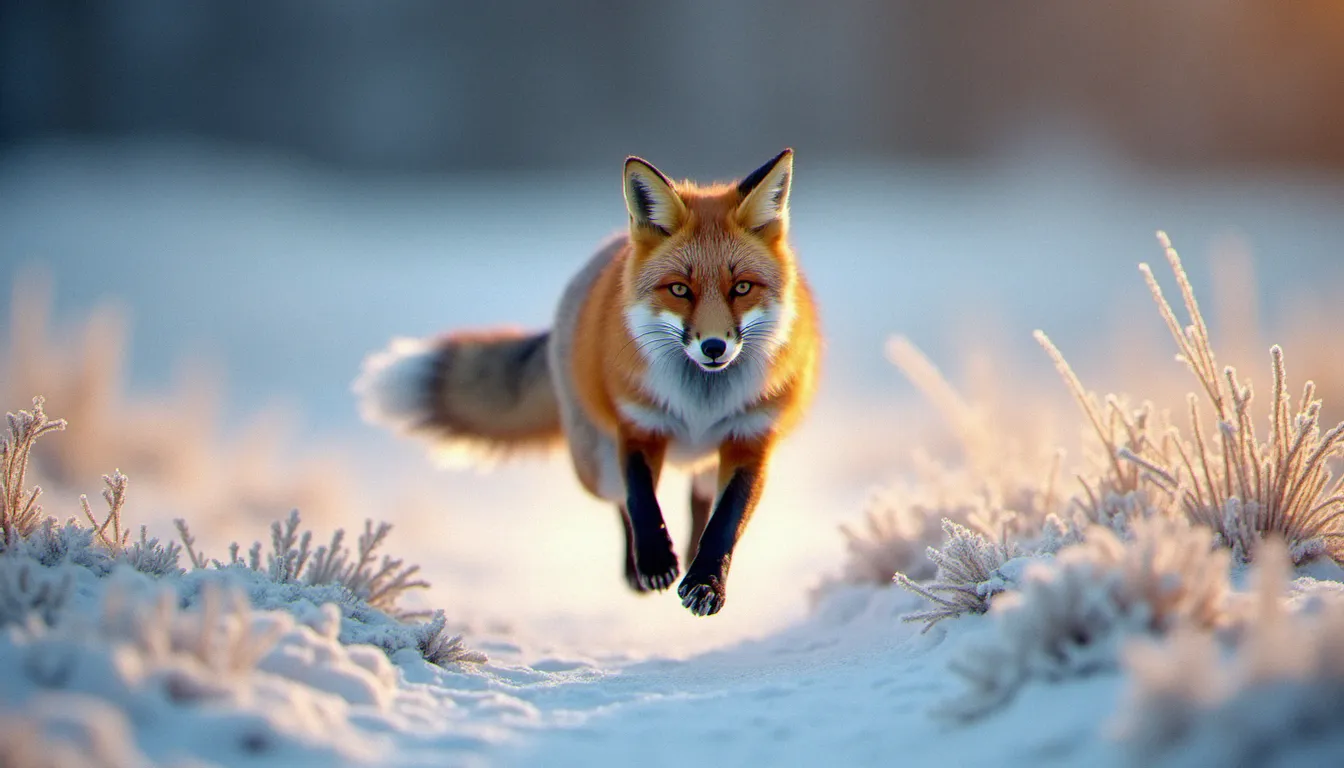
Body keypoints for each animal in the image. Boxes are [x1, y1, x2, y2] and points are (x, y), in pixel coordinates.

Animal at [354, 149, 820, 616]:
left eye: (741, 287)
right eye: (679, 290)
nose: (713, 347)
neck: (700, 400)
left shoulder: (751, 438)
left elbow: (726, 522)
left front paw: (706, 582)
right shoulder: (638, 425)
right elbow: (641, 500)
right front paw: (654, 562)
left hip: (705, 463)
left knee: (699, 501)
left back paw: (688, 556)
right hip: (596, 465)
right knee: (621, 502)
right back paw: (637, 568)